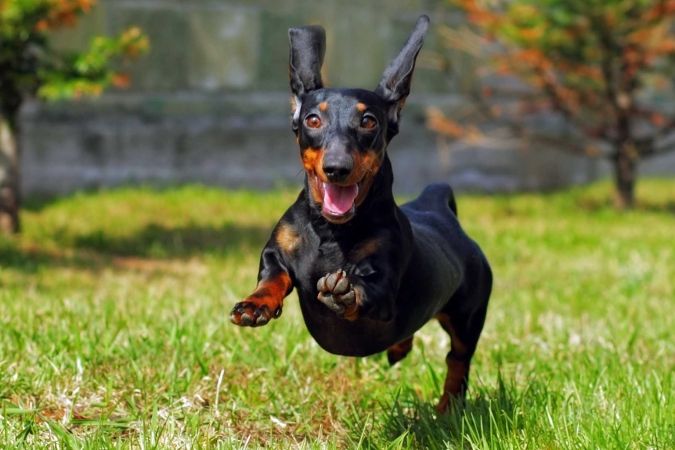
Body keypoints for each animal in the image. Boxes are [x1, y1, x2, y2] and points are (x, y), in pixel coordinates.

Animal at [230, 14, 494, 414]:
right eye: (312, 120)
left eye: (369, 121)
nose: (337, 168)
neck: (331, 232)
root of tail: (436, 207)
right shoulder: (276, 252)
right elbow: (273, 276)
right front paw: (255, 304)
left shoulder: (383, 282)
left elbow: (368, 292)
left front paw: (345, 293)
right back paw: (399, 348)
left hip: (468, 317)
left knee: (457, 361)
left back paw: (447, 410)